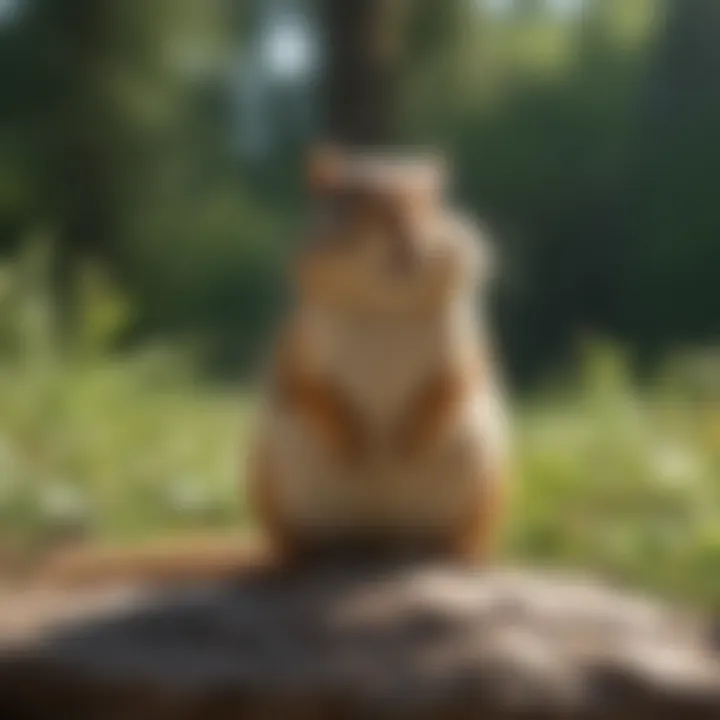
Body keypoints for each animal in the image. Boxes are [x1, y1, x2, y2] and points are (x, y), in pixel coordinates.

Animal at [26, 147, 510, 589]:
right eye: (358, 204)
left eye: (435, 204)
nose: (410, 244)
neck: (383, 305)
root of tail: (376, 540)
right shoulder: (296, 348)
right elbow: (308, 388)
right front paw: (352, 442)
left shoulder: (465, 347)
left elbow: (457, 383)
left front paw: (411, 439)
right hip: (274, 485)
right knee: (290, 549)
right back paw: (300, 563)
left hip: (484, 484)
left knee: (464, 536)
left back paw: (464, 556)